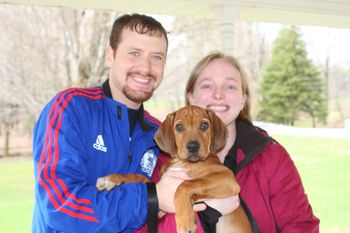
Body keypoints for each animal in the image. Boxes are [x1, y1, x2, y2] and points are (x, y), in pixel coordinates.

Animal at [96, 106, 252, 233]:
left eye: (204, 125)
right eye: (179, 127)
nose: (193, 147)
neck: (182, 162)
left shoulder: (227, 178)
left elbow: (185, 184)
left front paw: (185, 221)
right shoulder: (160, 207)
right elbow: (140, 177)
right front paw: (111, 178)